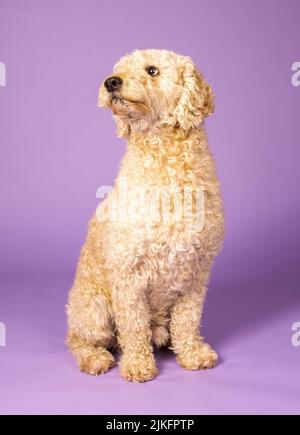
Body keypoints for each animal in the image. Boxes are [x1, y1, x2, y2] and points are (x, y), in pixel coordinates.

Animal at [66, 48, 225, 382]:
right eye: (119, 69)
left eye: (152, 70)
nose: (111, 81)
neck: (166, 158)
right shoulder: (128, 273)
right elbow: (133, 326)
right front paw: (138, 364)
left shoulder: (196, 272)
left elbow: (188, 320)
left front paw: (192, 353)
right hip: (93, 308)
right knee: (79, 339)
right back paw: (94, 358)